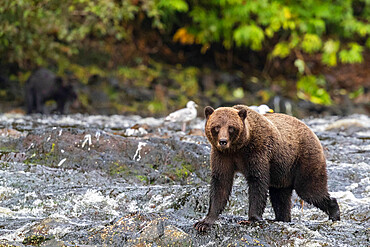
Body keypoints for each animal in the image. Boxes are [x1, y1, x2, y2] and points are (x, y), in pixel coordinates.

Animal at [194, 105, 342, 232]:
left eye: (231, 127)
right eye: (216, 126)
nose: (223, 141)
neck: (238, 148)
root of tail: (313, 132)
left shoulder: (257, 151)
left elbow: (257, 182)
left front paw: (251, 219)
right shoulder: (222, 156)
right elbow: (221, 183)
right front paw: (204, 222)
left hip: (304, 160)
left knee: (310, 190)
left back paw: (334, 213)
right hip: (283, 174)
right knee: (280, 197)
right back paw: (282, 219)